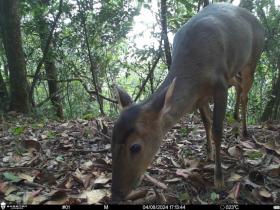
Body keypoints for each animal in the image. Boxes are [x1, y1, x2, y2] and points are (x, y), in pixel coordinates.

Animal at [110, 2, 264, 203]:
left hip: (254, 58)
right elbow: (206, 123)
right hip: (234, 71)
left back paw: (244, 129)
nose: (115, 195)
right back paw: (236, 117)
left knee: (245, 92)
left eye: (135, 147)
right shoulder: (200, 96)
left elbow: (217, 130)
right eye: (111, 138)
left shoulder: (220, 84)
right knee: (239, 87)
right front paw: (208, 153)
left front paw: (219, 179)